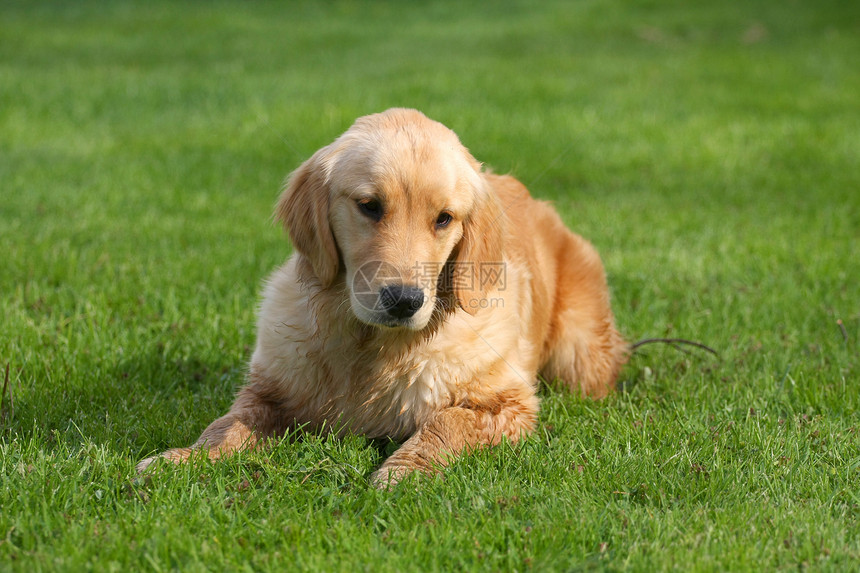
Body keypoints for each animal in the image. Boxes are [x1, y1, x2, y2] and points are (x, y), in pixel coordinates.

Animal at [138, 107, 628, 482]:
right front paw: (183, 458)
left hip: (578, 358)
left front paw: (403, 471)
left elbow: (447, 421)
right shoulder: (270, 390)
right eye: (369, 206)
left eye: (444, 218)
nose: (404, 300)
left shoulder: (508, 403)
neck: (371, 348)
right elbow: (227, 424)